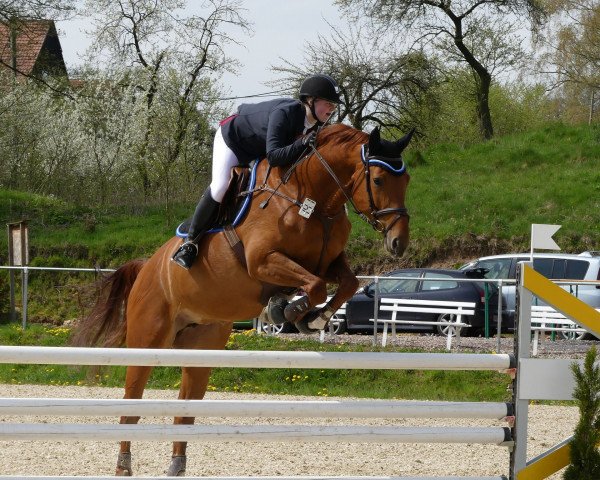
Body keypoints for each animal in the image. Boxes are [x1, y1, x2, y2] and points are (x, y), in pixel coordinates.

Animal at [74, 122, 412, 474]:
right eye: (378, 179)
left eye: (407, 181)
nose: (399, 242)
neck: (314, 201)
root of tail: (147, 267)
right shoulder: (262, 260)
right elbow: (317, 285)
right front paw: (287, 310)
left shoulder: (328, 262)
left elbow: (346, 282)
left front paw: (310, 317)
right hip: (147, 341)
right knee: (132, 404)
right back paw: (124, 466)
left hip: (201, 346)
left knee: (185, 410)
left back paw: (177, 466)